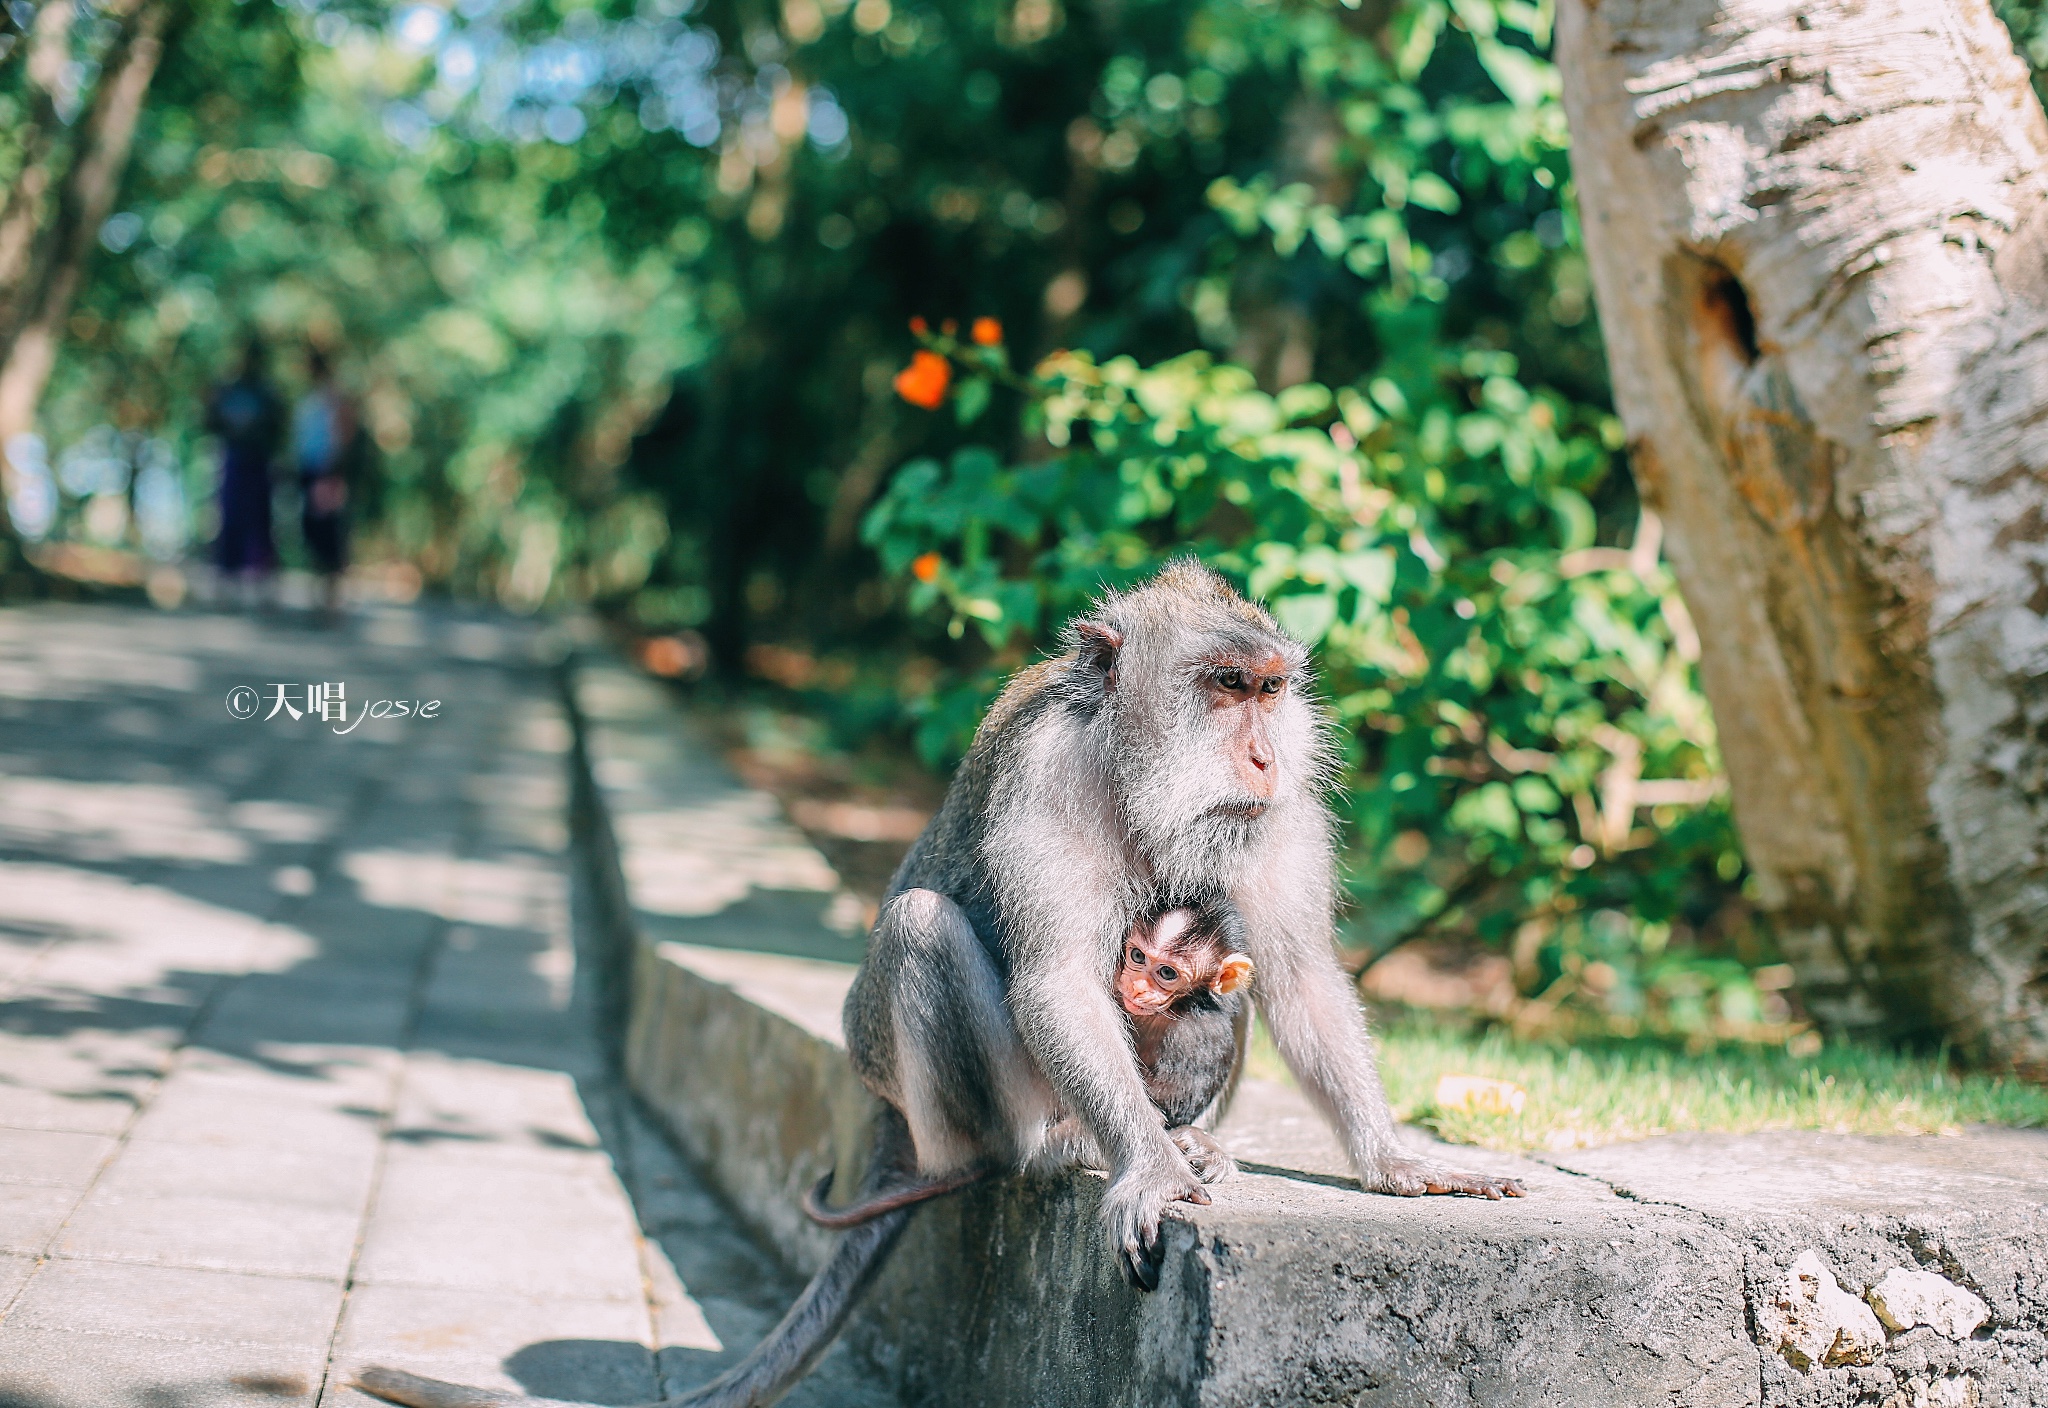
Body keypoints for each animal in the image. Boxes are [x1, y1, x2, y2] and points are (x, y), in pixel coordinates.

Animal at [356, 560, 1523, 1408]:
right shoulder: (1047, 776)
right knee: (927, 934)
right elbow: (1054, 981)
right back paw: (1050, 1145)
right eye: (1222, 687)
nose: (1264, 758)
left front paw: (1399, 1162)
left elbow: (1297, 974)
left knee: (1227, 993)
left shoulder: (1274, 822)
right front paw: (1145, 1167)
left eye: (1272, 690)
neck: (1129, 764)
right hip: (928, 1086)